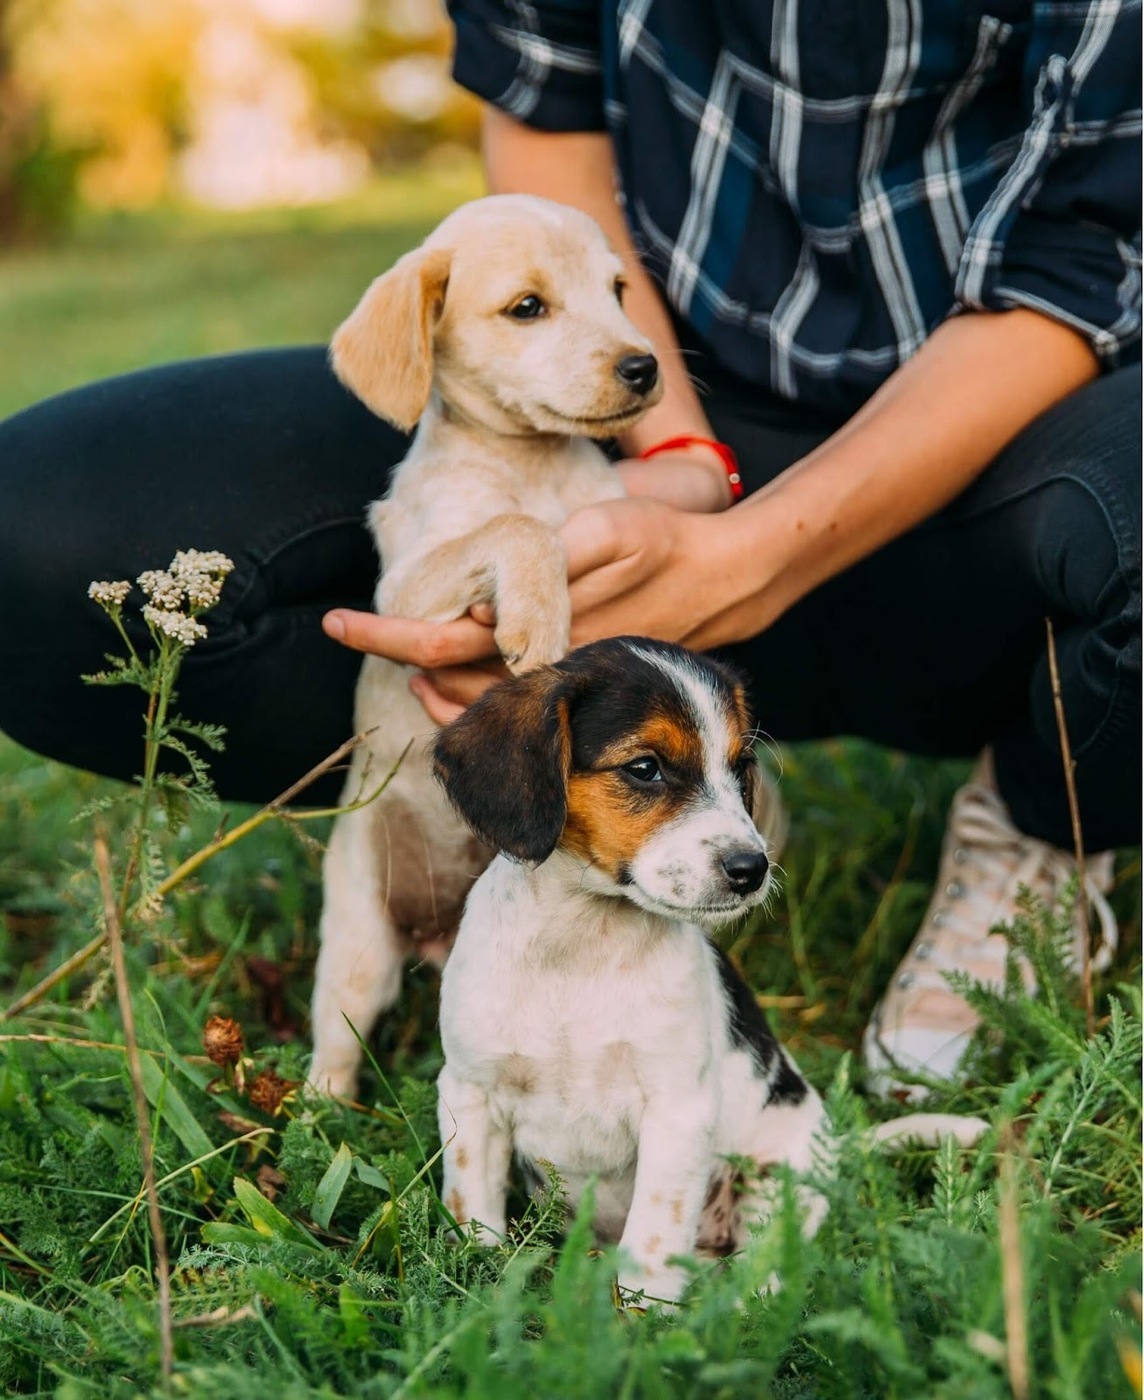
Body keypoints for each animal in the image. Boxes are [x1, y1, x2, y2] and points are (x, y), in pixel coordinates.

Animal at [308, 197, 663, 1097]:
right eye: (527, 307)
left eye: (617, 290)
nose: (645, 366)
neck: (533, 463)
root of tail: (436, 931)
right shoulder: (404, 589)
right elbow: (515, 527)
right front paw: (538, 612)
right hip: (357, 949)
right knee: (337, 1040)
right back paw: (313, 1110)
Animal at [434, 641, 985, 1304]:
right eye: (645, 767)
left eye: (741, 765)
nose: (752, 868)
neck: (582, 947)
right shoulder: (470, 1093)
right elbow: (473, 1210)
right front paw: (474, 1286)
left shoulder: (677, 1110)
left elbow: (652, 1240)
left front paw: (645, 1319)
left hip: (775, 1183)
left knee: (764, 1273)